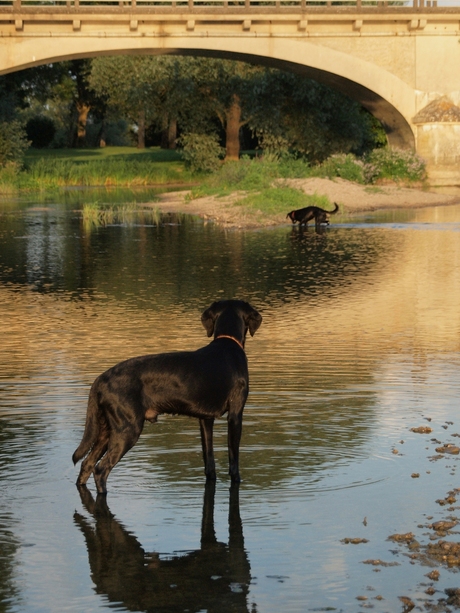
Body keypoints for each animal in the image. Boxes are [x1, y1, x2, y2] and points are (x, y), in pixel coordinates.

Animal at [74, 298, 264, 494]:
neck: (227, 343)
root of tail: (100, 380)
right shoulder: (235, 414)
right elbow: (234, 459)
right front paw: (238, 480)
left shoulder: (205, 419)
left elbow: (209, 460)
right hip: (127, 429)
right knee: (100, 469)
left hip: (105, 430)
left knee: (87, 463)